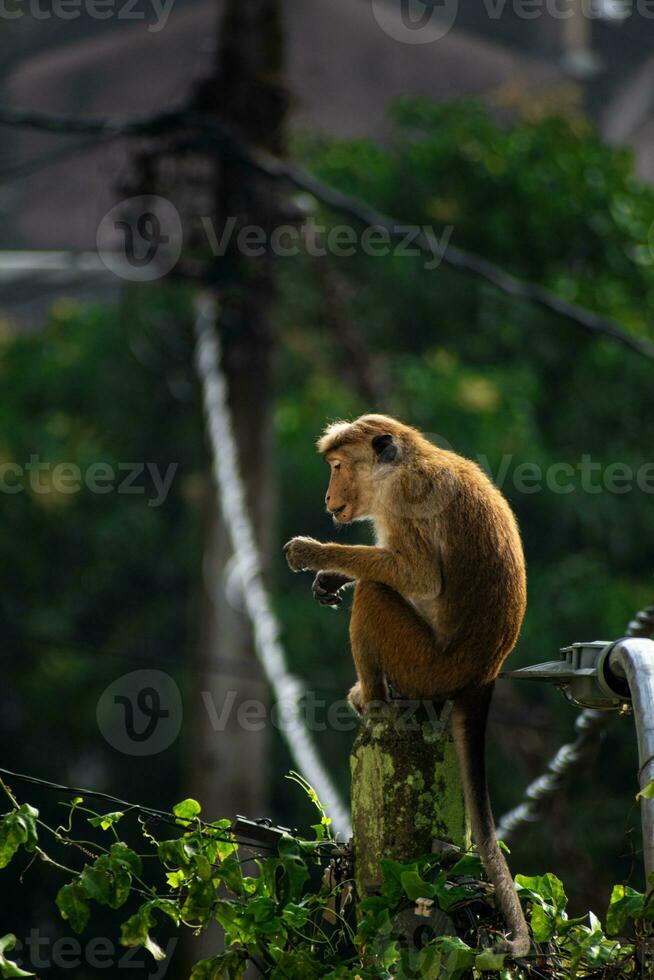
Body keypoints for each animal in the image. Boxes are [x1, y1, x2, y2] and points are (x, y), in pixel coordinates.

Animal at [286, 414, 532, 956]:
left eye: (338, 466)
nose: (328, 496)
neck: (404, 463)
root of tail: (483, 674)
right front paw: (330, 575)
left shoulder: (404, 498)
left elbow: (417, 577)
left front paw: (317, 554)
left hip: (424, 665)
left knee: (376, 594)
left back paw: (375, 701)